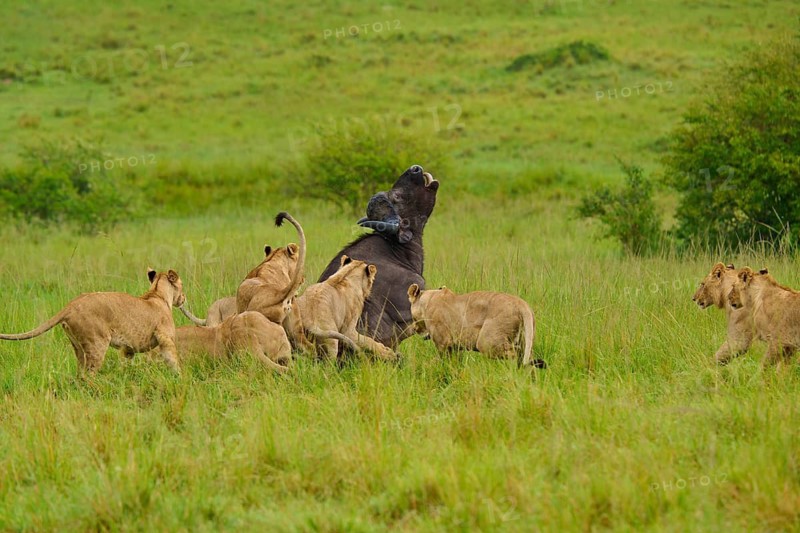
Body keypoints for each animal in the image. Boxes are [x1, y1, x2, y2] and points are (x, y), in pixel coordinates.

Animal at [0, 269, 185, 374]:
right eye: (182, 286)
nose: (183, 298)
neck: (158, 294)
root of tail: (71, 304)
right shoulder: (165, 338)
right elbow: (173, 360)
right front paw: (180, 378)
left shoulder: (128, 348)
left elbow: (126, 364)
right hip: (97, 343)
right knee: (89, 375)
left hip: (78, 346)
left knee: (80, 374)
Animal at [407, 284, 545, 368]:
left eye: (413, 318)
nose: (415, 328)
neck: (427, 301)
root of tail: (522, 304)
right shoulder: (455, 347)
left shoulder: (443, 343)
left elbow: (443, 362)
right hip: (524, 341)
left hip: (487, 341)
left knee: (514, 356)